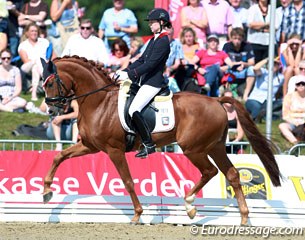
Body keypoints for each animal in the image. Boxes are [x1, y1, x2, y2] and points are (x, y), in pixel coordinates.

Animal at [41, 56, 280, 225]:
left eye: (50, 83)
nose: (52, 111)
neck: (99, 102)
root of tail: (215, 100)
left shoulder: (114, 150)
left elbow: (127, 181)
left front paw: (137, 215)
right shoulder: (90, 146)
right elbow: (59, 156)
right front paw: (46, 192)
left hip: (193, 148)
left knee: (210, 171)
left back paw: (190, 205)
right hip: (215, 147)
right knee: (231, 174)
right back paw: (243, 218)